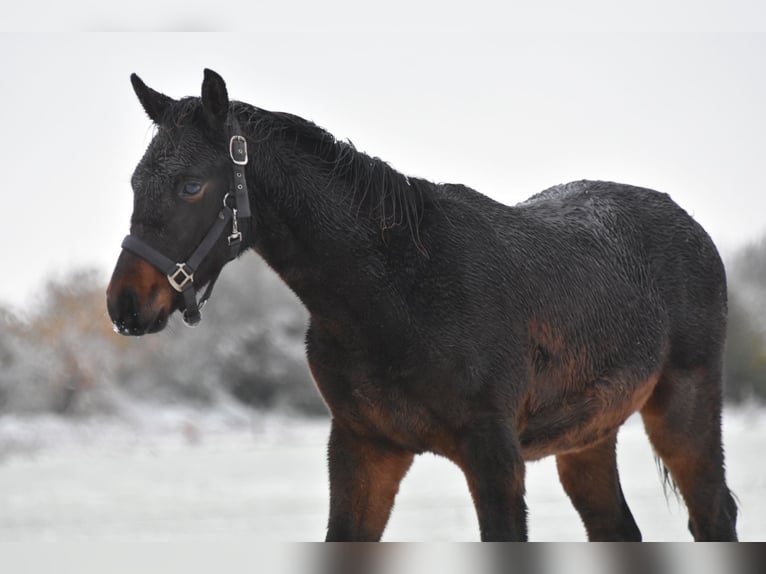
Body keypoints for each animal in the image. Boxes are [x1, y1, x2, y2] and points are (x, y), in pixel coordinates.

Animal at [105, 70, 740, 544]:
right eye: (135, 183)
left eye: (191, 186)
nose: (125, 305)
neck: (398, 292)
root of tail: (686, 222)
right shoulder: (364, 449)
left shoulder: (494, 458)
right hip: (587, 438)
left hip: (683, 408)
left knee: (714, 515)